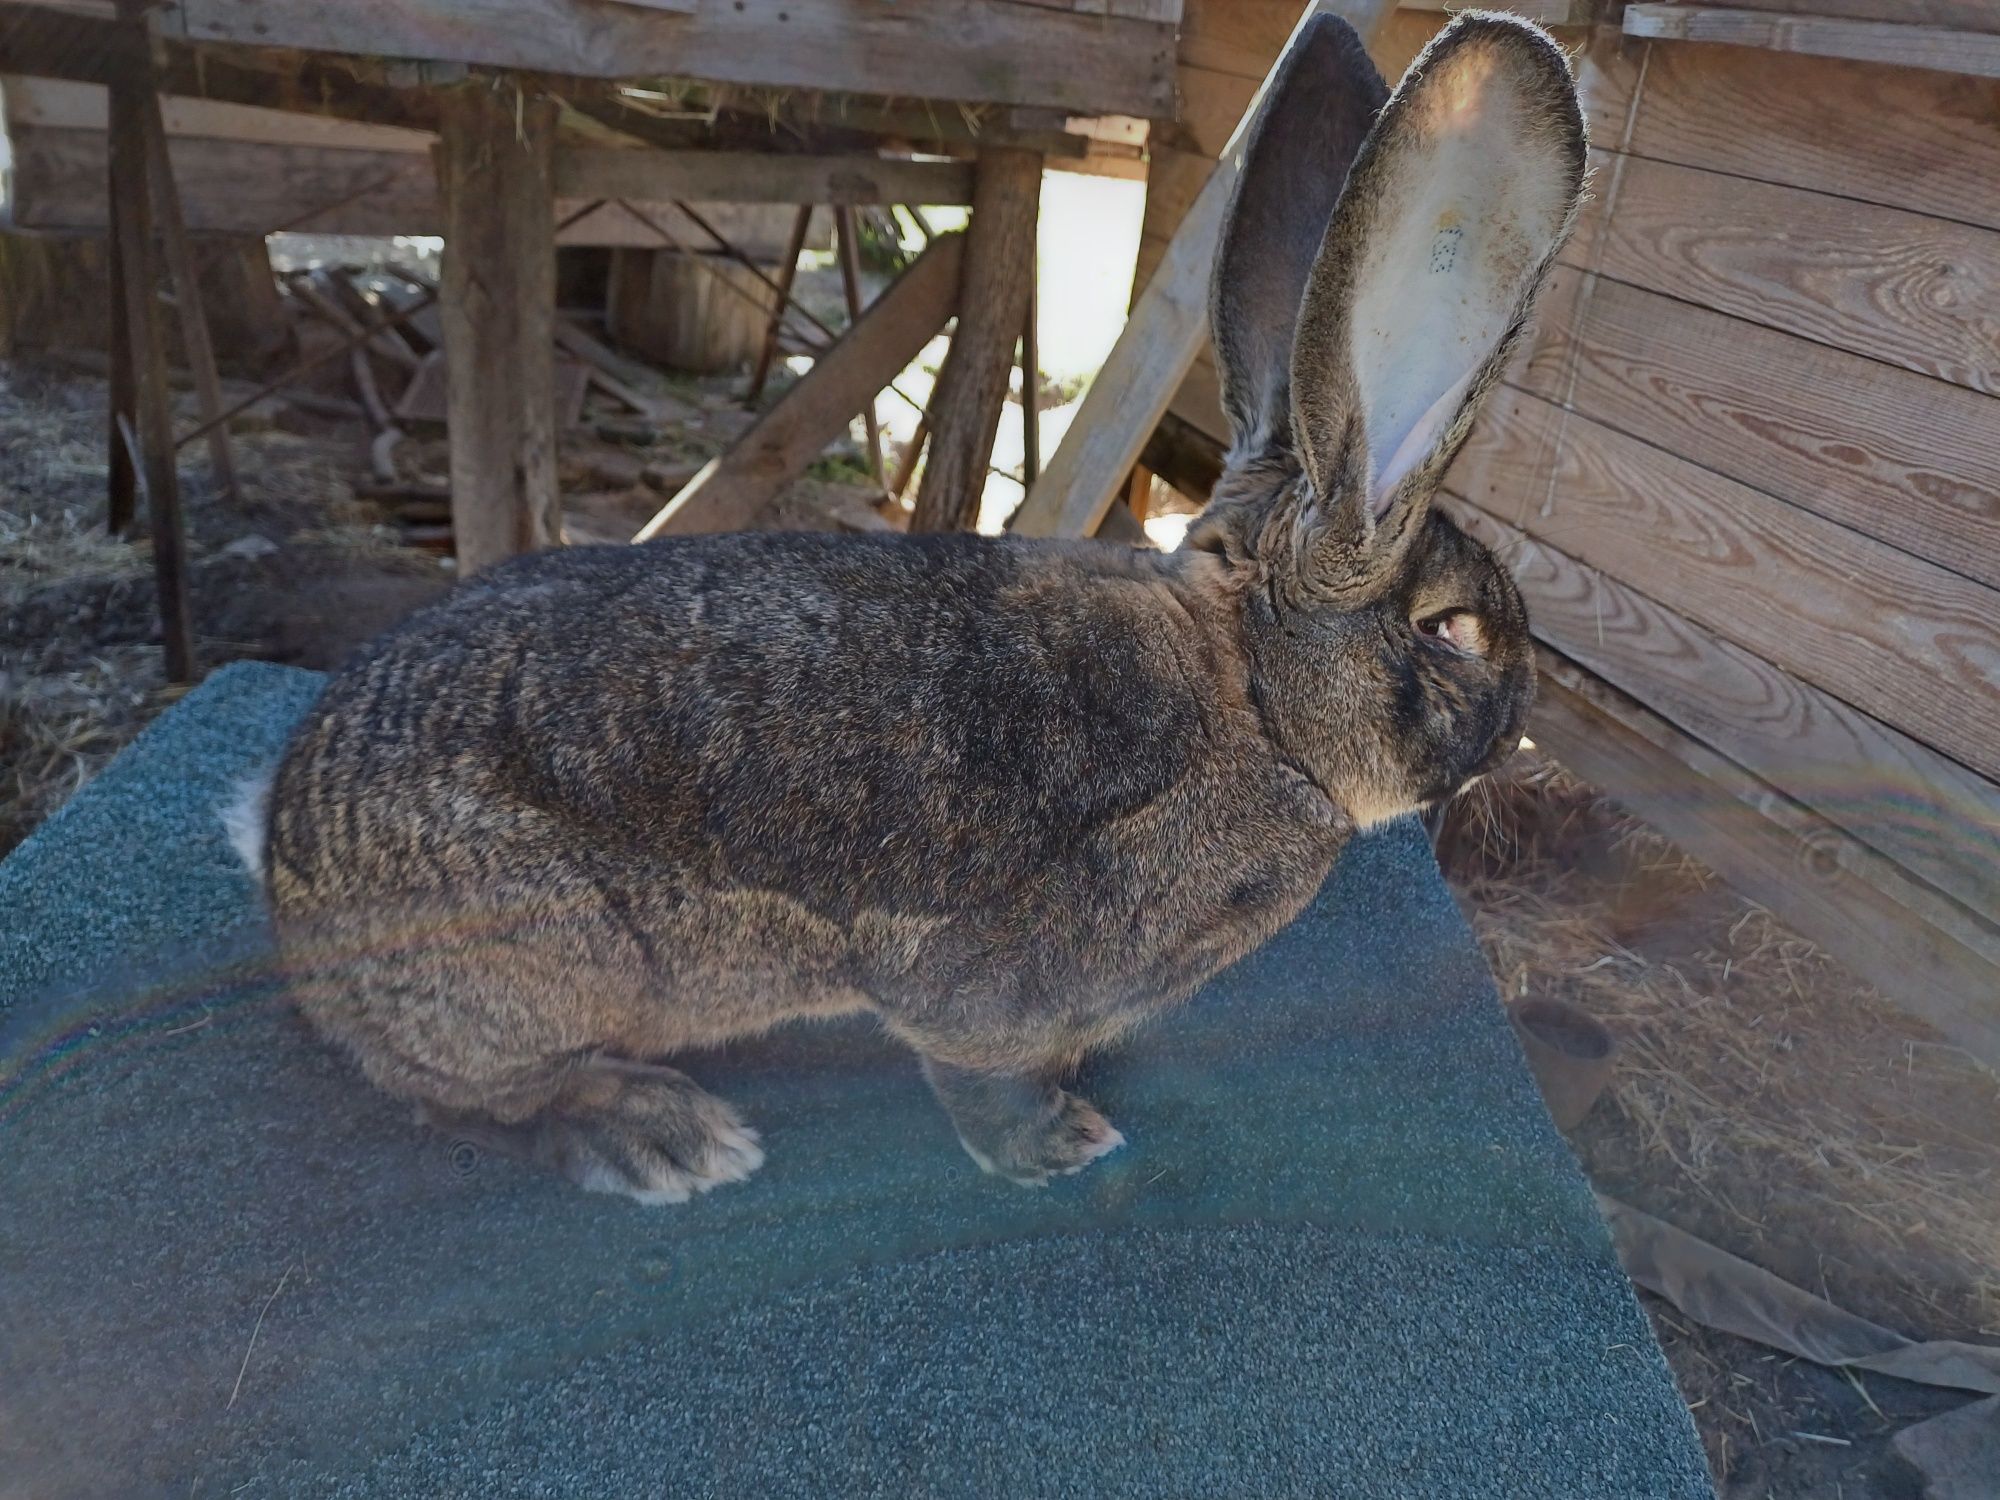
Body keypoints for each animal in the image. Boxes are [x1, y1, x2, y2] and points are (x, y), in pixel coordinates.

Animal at [234, 11, 1584, 1208]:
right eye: (1452, 631)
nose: (1521, 717)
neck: (1252, 702)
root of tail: (287, 871)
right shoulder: (989, 983)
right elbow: (974, 1067)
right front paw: (1055, 1142)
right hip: (544, 967)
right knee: (478, 1094)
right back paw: (660, 1135)